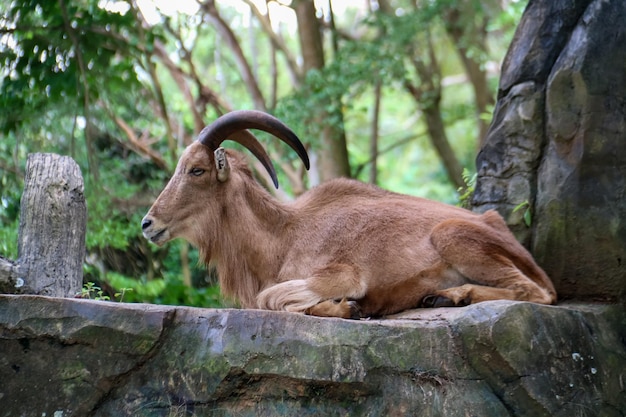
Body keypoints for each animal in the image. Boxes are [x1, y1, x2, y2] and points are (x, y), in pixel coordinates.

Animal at [141, 109, 556, 316]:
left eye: (196, 170)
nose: (148, 223)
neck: (282, 237)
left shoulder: (342, 274)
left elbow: (274, 298)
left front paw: (348, 307)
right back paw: (445, 296)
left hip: (453, 235)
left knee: (536, 292)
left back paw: (457, 294)